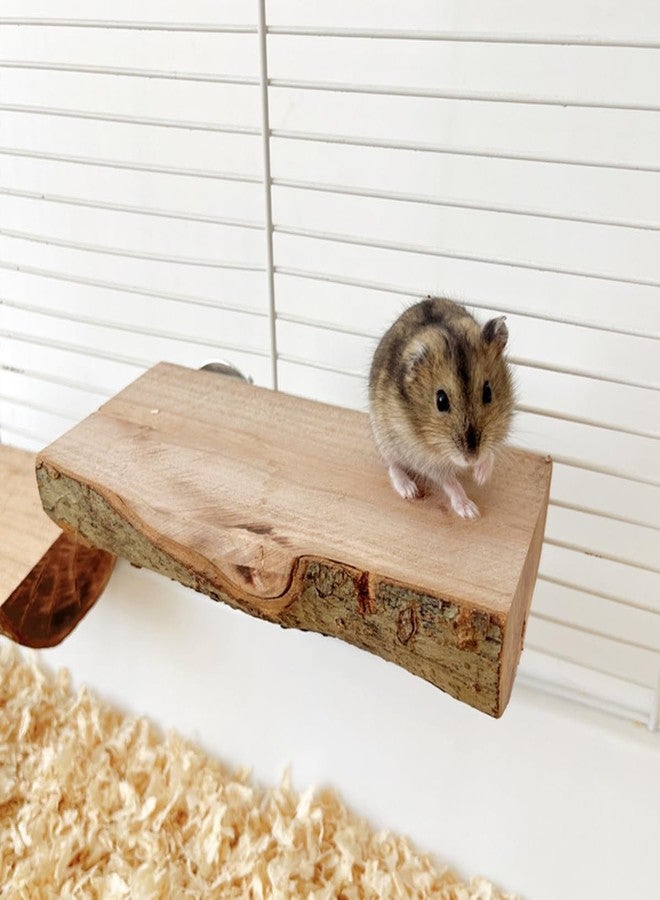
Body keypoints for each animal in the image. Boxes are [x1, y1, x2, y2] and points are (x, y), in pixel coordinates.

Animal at [368, 297, 514, 519]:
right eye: (441, 401)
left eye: (488, 392)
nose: (471, 459)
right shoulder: (422, 456)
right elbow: (448, 481)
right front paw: (471, 512)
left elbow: (490, 453)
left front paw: (480, 477)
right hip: (383, 438)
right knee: (393, 465)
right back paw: (409, 490)